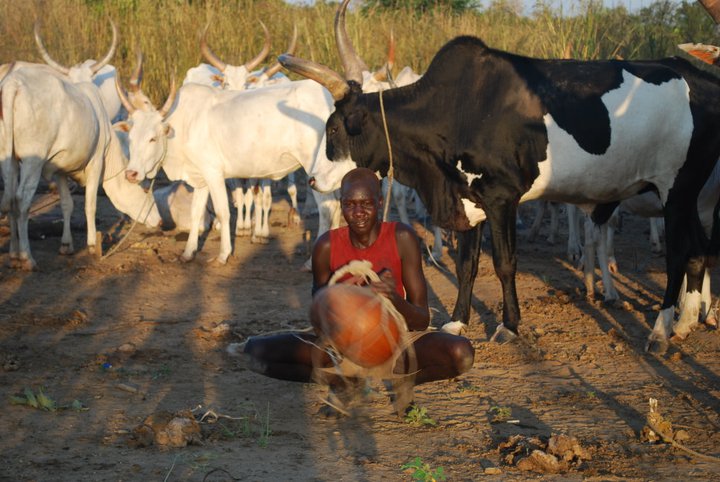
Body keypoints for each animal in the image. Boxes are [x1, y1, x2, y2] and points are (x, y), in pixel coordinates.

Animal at [278, 22, 720, 352]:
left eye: (335, 128)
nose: (313, 179)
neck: (457, 108)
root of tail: (700, 79)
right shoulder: (468, 200)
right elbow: (466, 264)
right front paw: (457, 321)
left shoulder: (502, 197)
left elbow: (505, 263)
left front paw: (509, 325)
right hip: (687, 196)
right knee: (699, 250)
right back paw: (685, 323)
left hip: (676, 190)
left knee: (679, 254)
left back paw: (661, 331)